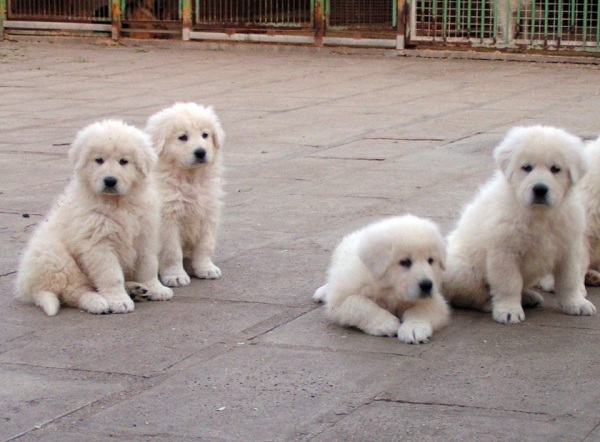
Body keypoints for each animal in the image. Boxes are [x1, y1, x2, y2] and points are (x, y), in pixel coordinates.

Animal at [15, 119, 173, 316]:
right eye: (99, 160)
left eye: (124, 161)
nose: (110, 180)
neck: (117, 203)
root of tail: (28, 287)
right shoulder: (98, 243)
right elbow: (111, 275)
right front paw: (119, 301)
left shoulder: (145, 235)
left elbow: (148, 266)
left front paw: (156, 288)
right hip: (56, 257)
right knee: (75, 291)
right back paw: (98, 302)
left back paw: (136, 290)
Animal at [145, 102, 225, 288]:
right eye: (182, 137)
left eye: (205, 135)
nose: (201, 152)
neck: (189, 178)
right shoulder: (167, 219)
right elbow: (172, 251)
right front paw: (175, 275)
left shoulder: (209, 212)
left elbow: (205, 245)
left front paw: (206, 268)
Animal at [314, 214, 450, 346]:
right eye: (405, 262)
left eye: (430, 260)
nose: (427, 285)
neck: (388, 289)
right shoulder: (340, 301)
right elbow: (361, 305)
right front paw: (388, 323)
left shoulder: (433, 299)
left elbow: (419, 310)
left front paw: (414, 329)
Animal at [442, 126, 592, 322]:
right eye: (526, 167)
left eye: (555, 169)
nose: (540, 189)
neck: (539, 214)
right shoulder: (504, 252)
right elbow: (509, 284)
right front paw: (509, 310)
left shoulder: (569, 249)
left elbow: (569, 280)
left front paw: (576, 303)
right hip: (465, 270)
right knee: (469, 296)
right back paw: (490, 304)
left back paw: (528, 296)